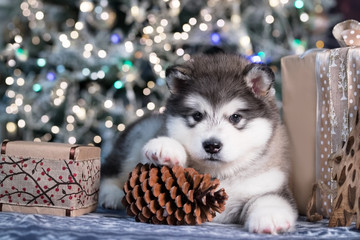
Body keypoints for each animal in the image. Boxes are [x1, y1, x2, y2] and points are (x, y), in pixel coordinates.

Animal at [100, 53, 296, 234]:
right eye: (197, 115)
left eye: (235, 117)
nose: (212, 145)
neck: (221, 174)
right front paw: (167, 147)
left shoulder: (271, 183)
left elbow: (269, 198)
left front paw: (270, 216)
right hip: (140, 133)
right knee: (111, 170)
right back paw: (111, 194)